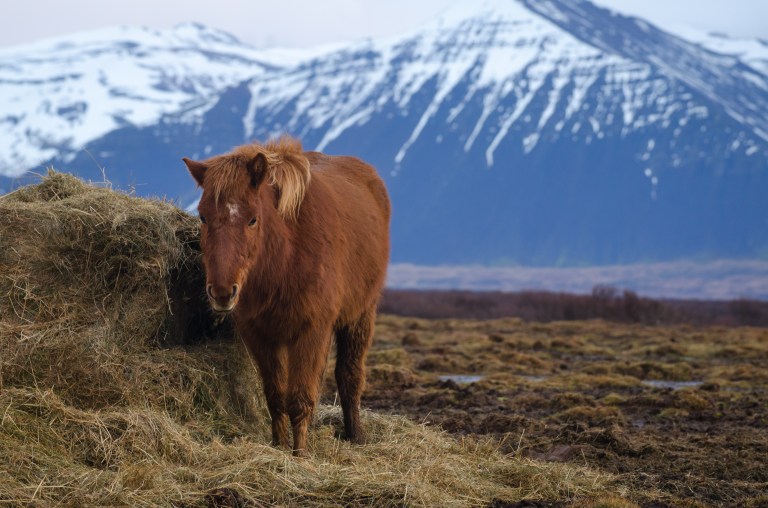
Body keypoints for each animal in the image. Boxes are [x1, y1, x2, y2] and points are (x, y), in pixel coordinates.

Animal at [183, 136, 390, 456]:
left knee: (349, 375)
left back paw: (355, 435)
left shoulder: (312, 331)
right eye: (203, 217)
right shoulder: (260, 336)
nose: (222, 292)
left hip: (360, 315)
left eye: (252, 220)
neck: (285, 258)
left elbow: (301, 398)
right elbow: (276, 396)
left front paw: (300, 454)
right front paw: (279, 447)